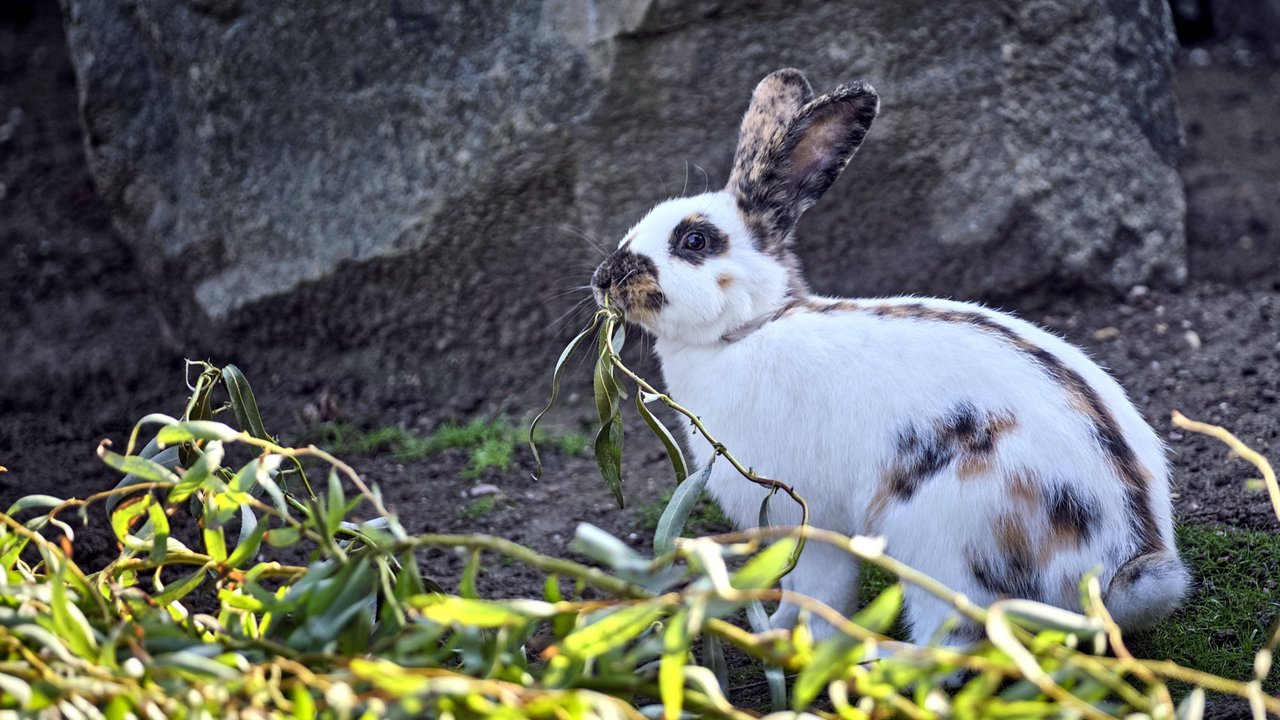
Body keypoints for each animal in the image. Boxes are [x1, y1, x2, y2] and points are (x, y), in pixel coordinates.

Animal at [591, 67, 1187, 640]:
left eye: (694, 242)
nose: (603, 280)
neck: (745, 330)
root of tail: (1125, 563)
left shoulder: (807, 516)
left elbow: (819, 589)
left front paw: (788, 640)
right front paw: (774, 628)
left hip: (940, 547)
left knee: (953, 637)